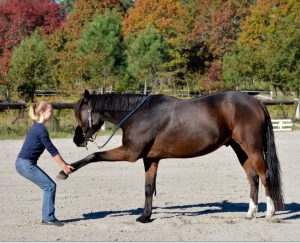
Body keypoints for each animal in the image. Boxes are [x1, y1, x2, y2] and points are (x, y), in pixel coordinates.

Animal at [58, 89, 284, 222]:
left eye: (80, 113)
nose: (77, 139)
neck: (139, 115)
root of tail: (255, 101)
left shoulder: (130, 153)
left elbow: (94, 156)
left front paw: (65, 171)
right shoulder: (150, 159)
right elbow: (148, 188)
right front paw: (145, 216)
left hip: (253, 148)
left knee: (264, 175)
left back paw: (270, 212)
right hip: (239, 148)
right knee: (253, 178)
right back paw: (250, 212)